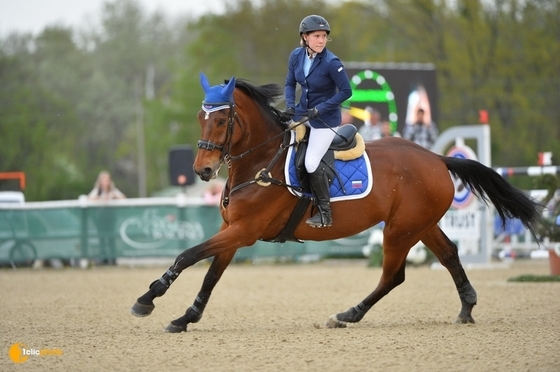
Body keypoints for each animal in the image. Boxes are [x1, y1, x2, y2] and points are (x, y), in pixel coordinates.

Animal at [129, 72, 540, 332]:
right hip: (420, 224)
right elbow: (211, 274)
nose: (202, 170)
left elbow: (187, 255)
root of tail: (436, 158)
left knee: (394, 275)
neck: (260, 162)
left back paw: (348, 314)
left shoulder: (244, 232)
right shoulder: (231, 231)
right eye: (201, 118)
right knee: (449, 254)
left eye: (221, 120)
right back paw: (466, 307)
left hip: (400, 230)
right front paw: (186, 318)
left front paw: (148, 297)